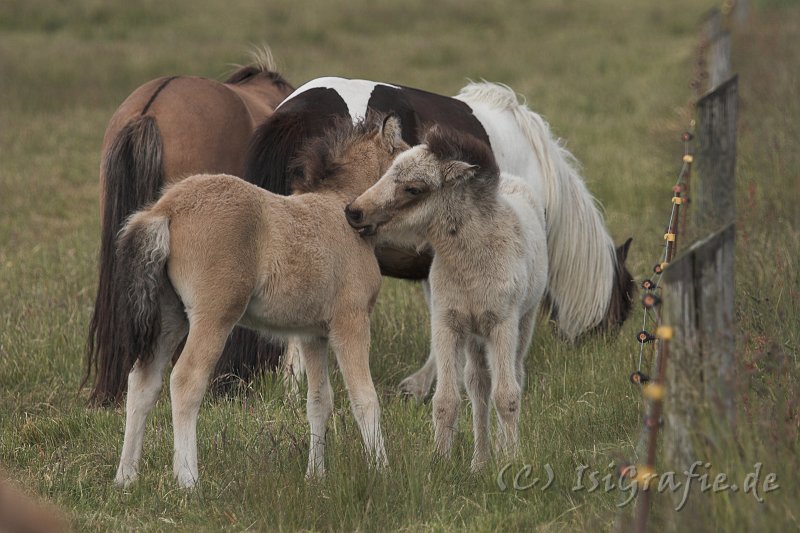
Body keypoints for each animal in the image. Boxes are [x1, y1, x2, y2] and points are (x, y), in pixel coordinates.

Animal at [346, 127, 548, 468]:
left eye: (414, 189)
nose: (353, 211)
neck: (472, 263)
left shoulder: (502, 325)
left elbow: (507, 395)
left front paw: (510, 460)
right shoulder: (446, 324)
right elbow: (446, 400)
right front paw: (440, 461)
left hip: (522, 324)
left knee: (512, 377)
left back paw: (498, 453)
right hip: (474, 337)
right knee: (478, 386)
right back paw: (480, 462)